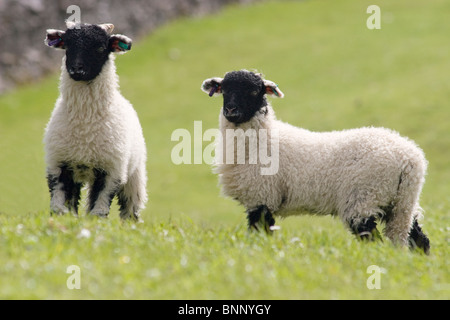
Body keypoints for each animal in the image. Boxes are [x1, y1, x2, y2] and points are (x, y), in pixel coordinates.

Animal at [43, 20, 147, 220]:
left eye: (100, 48)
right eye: (67, 46)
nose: (76, 69)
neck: (85, 125)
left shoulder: (111, 171)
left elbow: (98, 211)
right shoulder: (58, 165)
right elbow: (60, 206)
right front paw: (65, 221)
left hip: (134, 175)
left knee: (130, 208)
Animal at [202, 70, 430, 255]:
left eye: (253, 91)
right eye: (224, 90)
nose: (231, 110)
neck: (262, 140)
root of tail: (408, 158)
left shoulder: (261, 197)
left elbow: (260, 234)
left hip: (364, 198)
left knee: (373, 239)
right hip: (403, 202)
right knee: (417, 239)